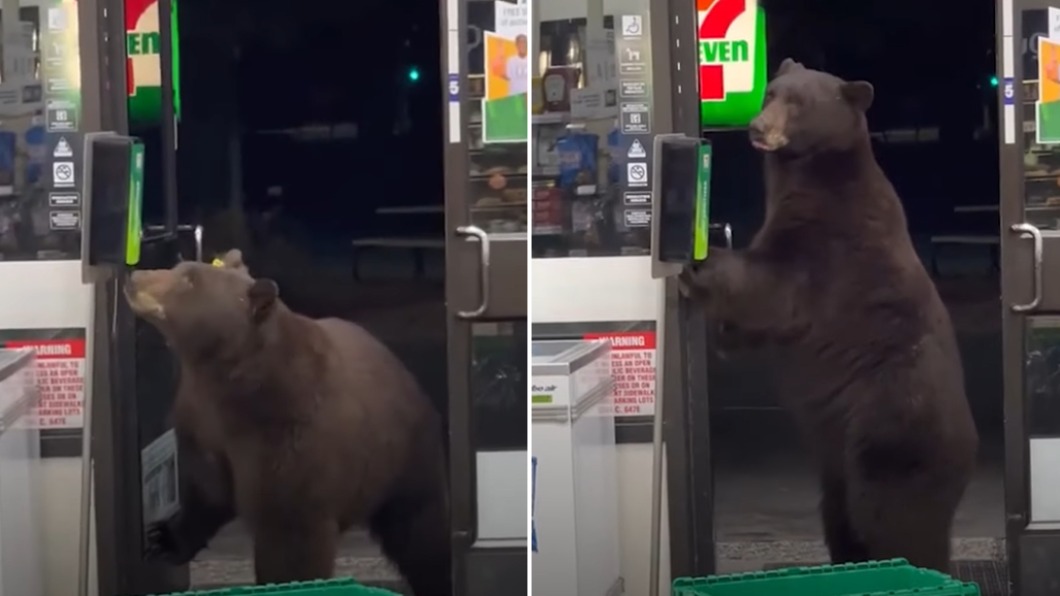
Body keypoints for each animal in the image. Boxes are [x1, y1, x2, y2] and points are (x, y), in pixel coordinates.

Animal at [125, 249, 451, 595]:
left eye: (189, 280)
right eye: (181, 267)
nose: (135, 277)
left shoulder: (290, 442)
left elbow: (290, 537)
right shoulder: (201, 424)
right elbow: (204, 490)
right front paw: (162, 539)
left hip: (402, 458)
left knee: (419, 531)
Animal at [678, 59, 979, 572]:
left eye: (798, 104)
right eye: (771, 93)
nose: (758, 128)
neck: (814, 175)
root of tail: (970, 447)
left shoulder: (831, 243)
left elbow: (775, 287)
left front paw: (698, 264)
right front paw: (725, 334)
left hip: (892, 436)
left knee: (894, 521)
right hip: (843, 461)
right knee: (840, 517)